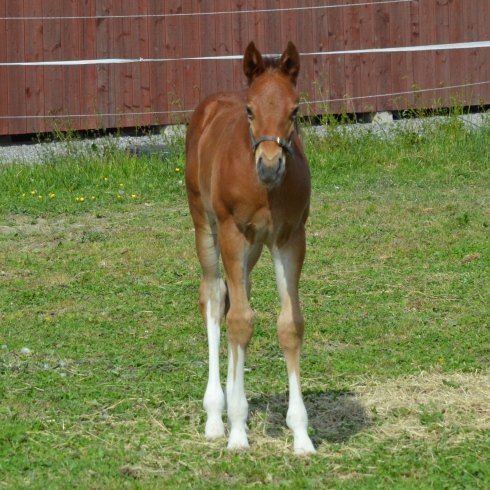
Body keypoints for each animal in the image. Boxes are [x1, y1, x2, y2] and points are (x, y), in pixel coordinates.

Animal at [186, 40, 316, 454]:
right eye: (249, 109)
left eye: (295, 109)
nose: (270, 166)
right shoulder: (232, 234)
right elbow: (240, 321)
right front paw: (238, 433)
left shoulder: (289, 238)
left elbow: (289, 325)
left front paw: (301, 435)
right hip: (206, 227)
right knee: (215, 299)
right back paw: (216, 414)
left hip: (253, 248)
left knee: (233, 297)